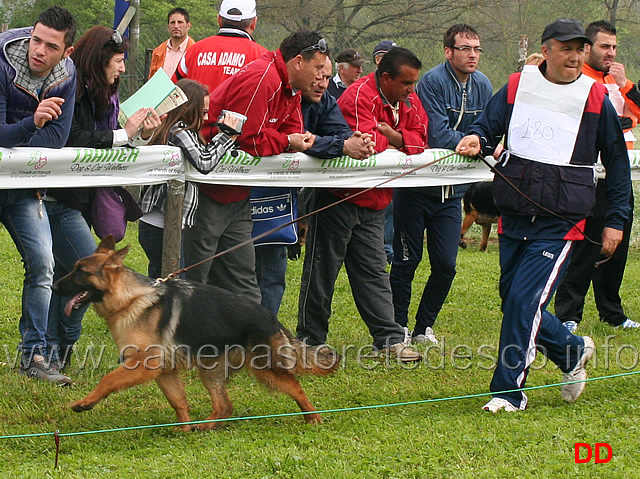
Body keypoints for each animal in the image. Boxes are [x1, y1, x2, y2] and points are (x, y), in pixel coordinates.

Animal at [53, 236, 340, 432]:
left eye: (81, 272)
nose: (54, 287)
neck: (129, 297)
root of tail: (271, 317)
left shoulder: (143, 364)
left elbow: (108, 380)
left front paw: (85, 403)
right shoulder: (164, 370)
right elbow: (178, 401)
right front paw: (183, 429)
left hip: (265, 369)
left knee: (296, 387)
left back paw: (313, 418)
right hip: (211, 370)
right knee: (225, 406)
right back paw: (204, 427)